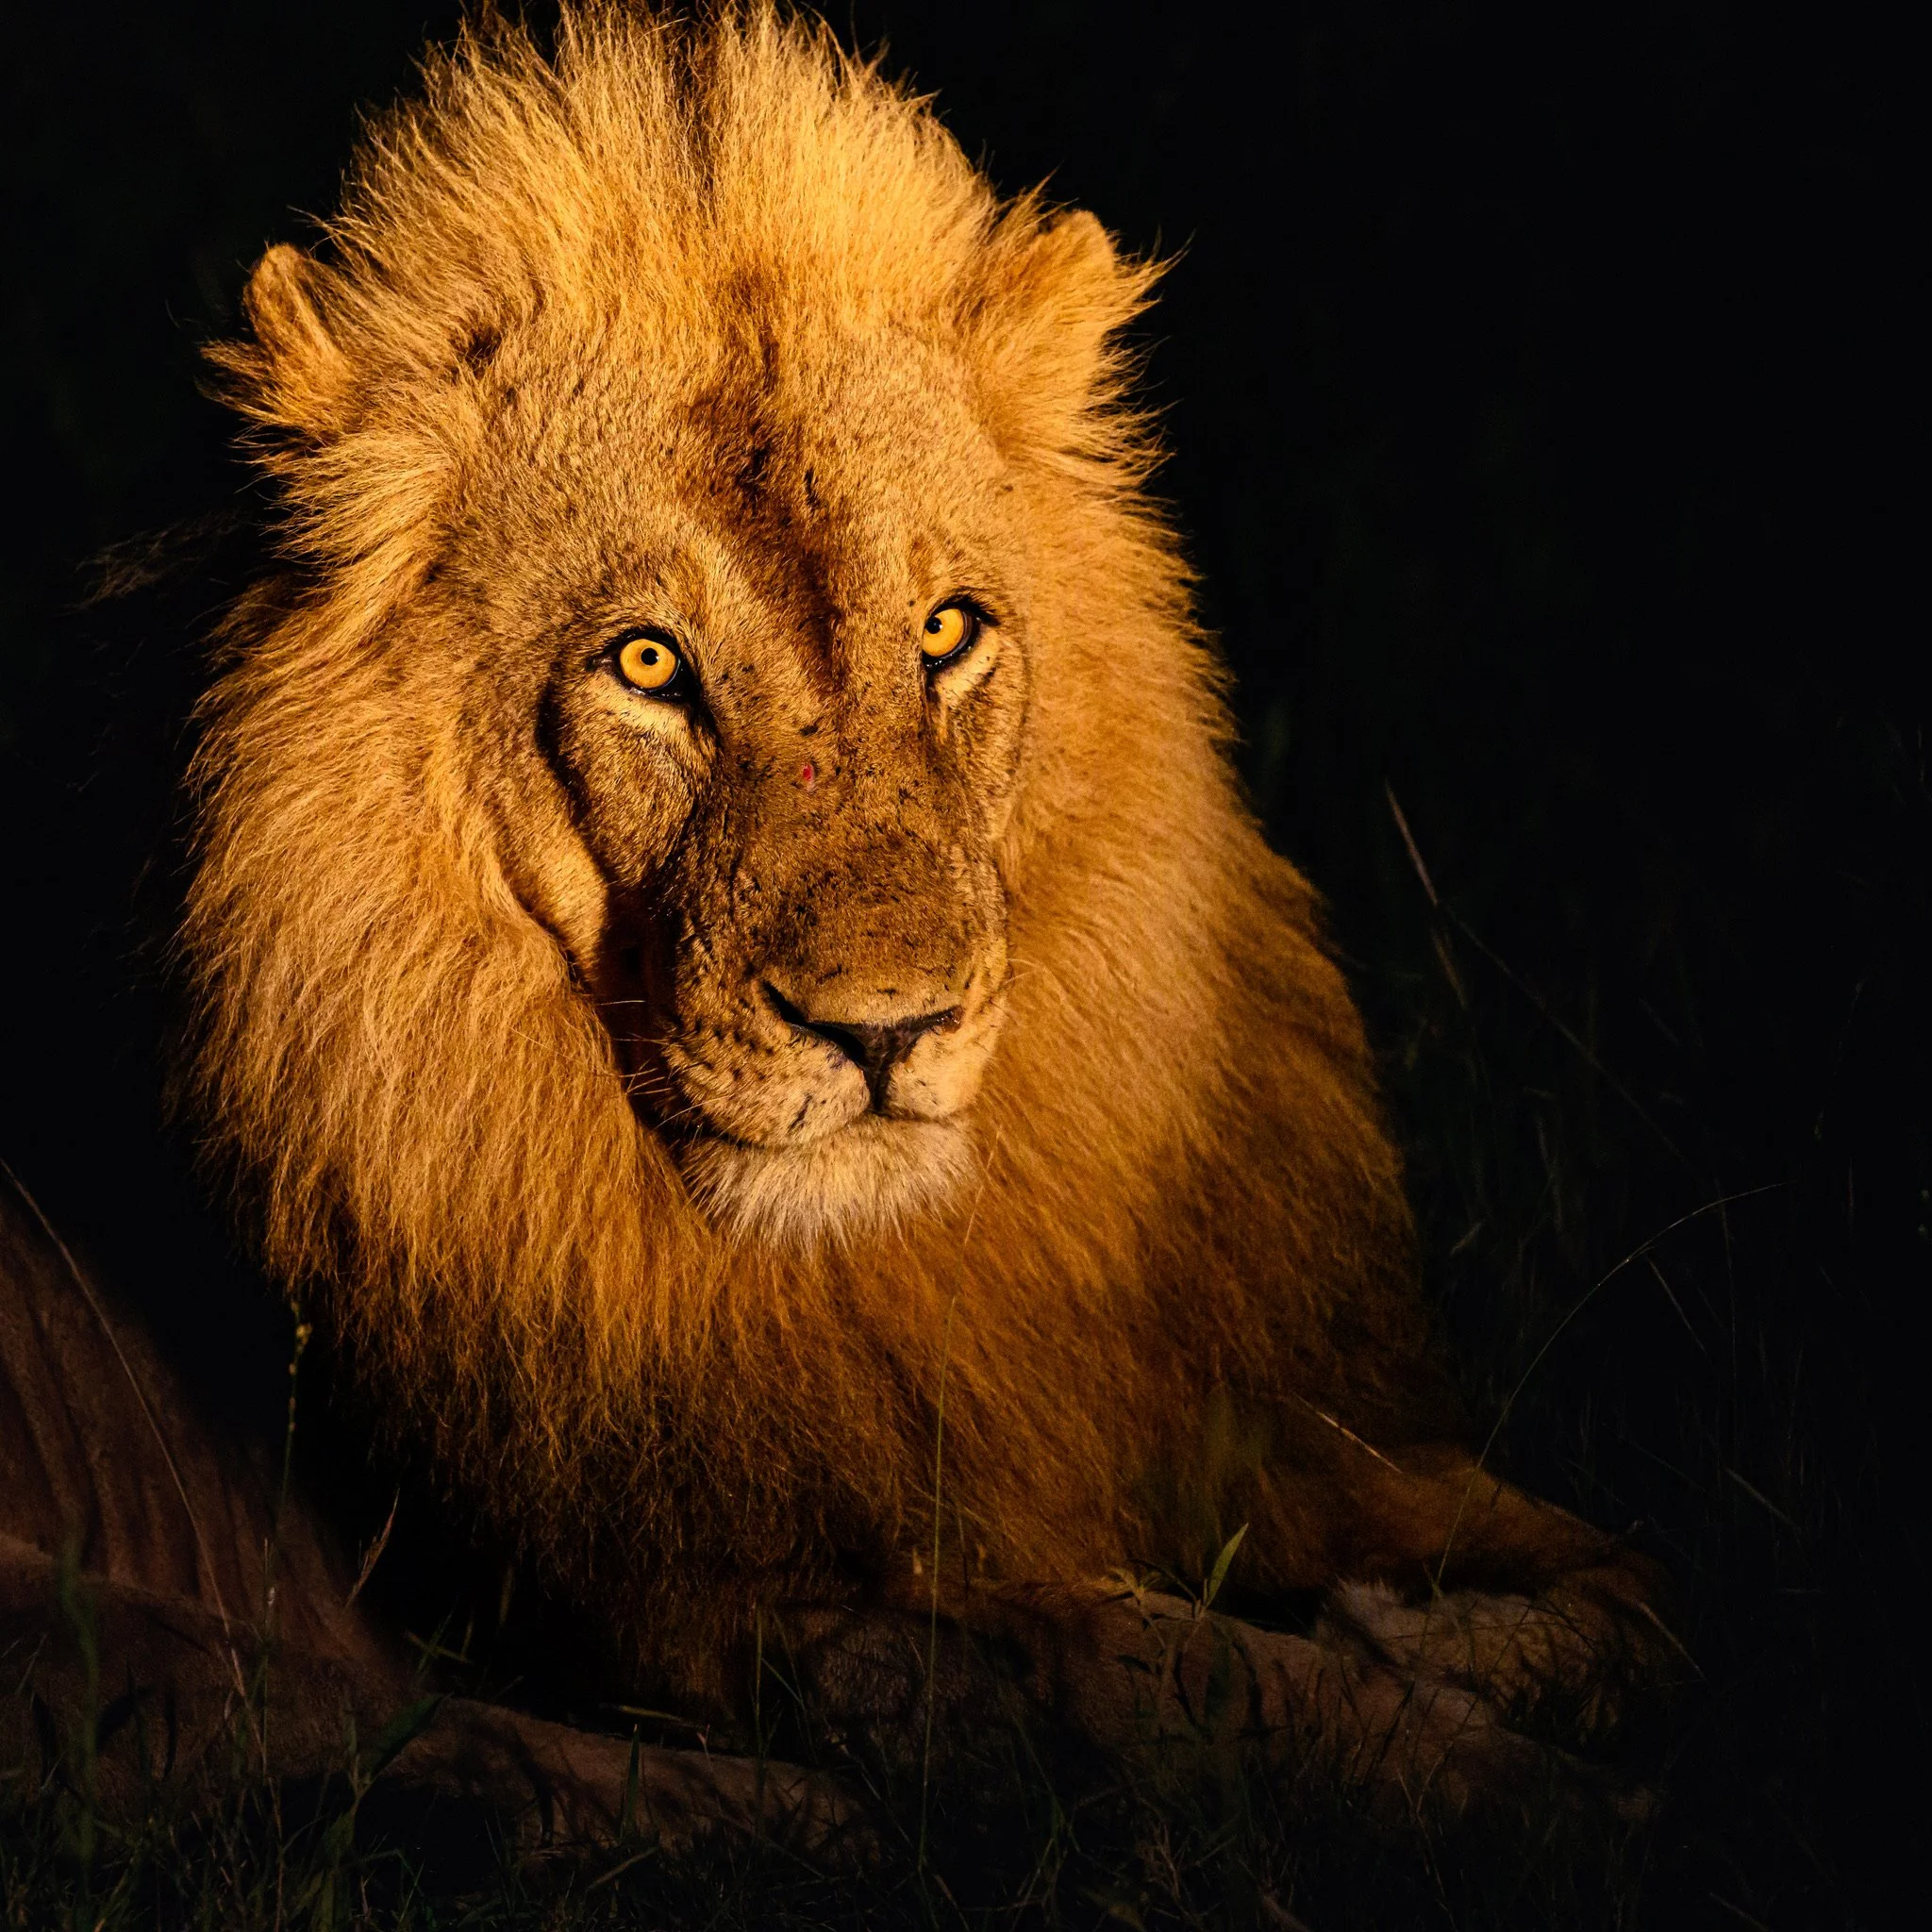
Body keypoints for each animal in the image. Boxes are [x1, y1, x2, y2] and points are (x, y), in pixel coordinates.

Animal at [160, 0, 1673, 1812]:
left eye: (946, 631)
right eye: (646, 664)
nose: (886, 1033)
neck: (865, 1268)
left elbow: (1639, 1591)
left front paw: (1476, 1637)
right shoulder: (695, 1611)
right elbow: (1175, 1675)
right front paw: (1489, 1760)